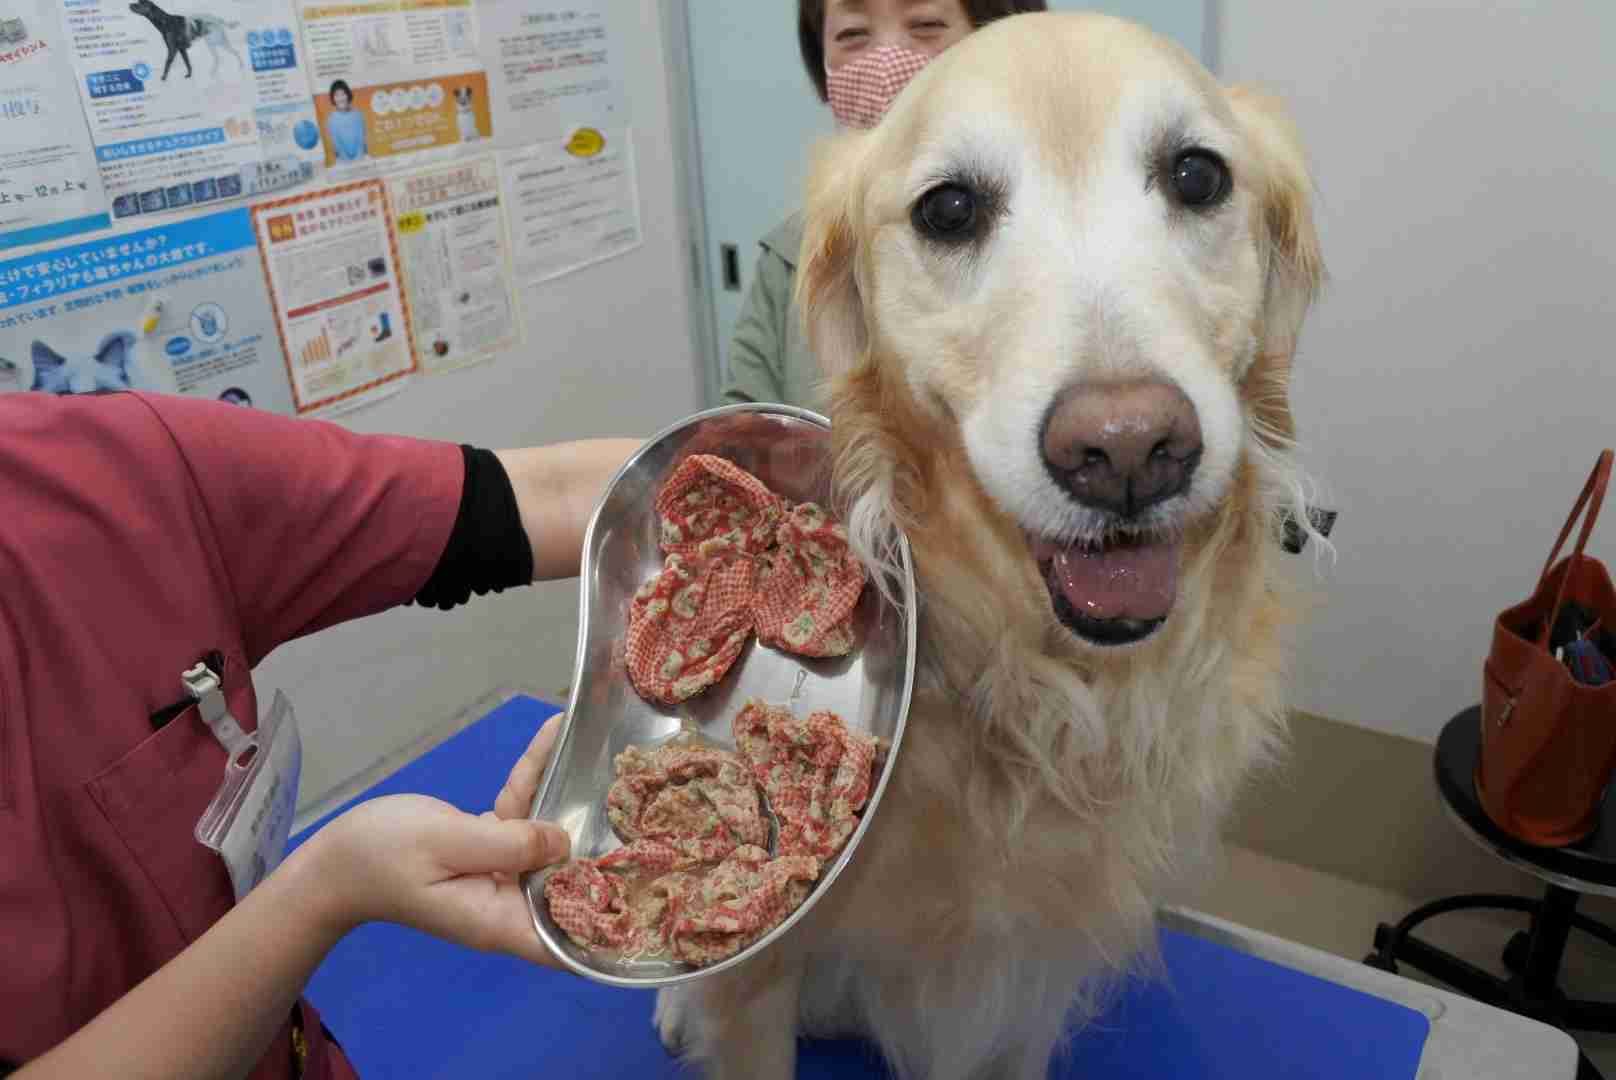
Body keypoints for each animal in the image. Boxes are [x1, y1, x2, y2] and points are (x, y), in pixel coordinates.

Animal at [656, 10, 1325, 1080]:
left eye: (1197, 176)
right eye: (950, 208)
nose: (1128, 450)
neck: (1041, 687)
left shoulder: (1035, 973)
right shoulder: (762, 977)